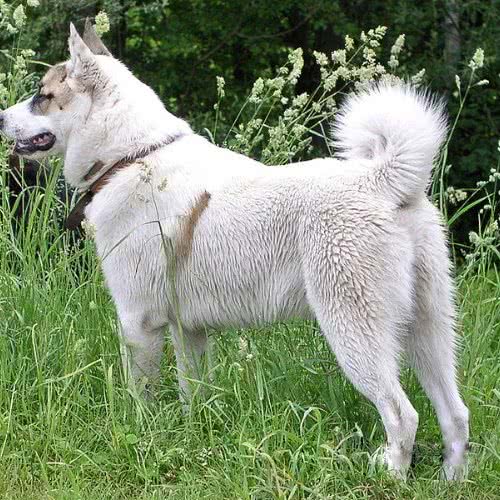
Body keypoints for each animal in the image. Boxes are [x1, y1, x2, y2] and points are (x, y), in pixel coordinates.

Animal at [0, 21, 469, 480]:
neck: (131, 156)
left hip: (355, 332)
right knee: (455, 415)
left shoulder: (138, 323)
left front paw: (140, 434)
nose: (2, 117)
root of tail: (381, 180)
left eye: (42, 95)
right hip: (428, 331)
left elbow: (141, 396)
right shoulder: (188, 331)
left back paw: (389, 475)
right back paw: (451, 479)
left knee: (402, 415)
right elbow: (193, 394)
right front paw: (190, 439)